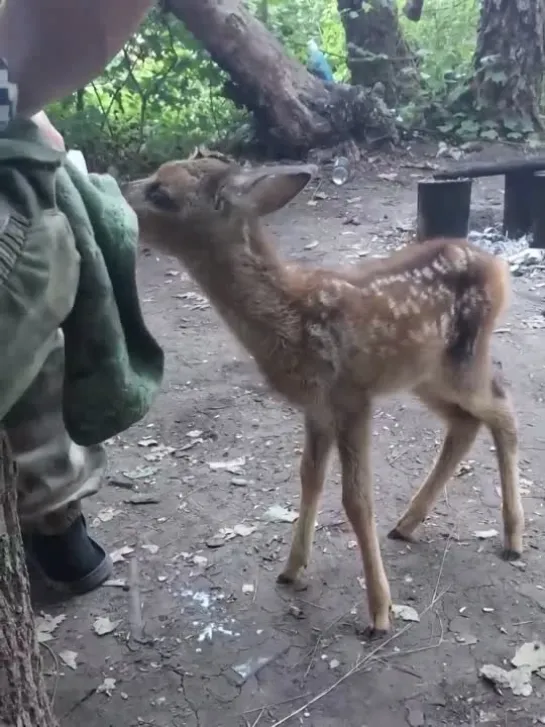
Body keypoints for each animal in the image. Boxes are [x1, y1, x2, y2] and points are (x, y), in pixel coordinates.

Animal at [125, 159, 524, 636]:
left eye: (162, 193)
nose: (119, 193)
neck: (290, 316)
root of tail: (498, 267)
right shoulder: (316, 407)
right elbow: (309, 477)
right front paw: (292, 568)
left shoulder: (351, 395)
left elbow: (356, 498)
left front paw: (379, 612)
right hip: (424, 374)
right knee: (466, 422)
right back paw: (408, 523)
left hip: (462, 360)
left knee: (502, 409)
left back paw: (513, 538)